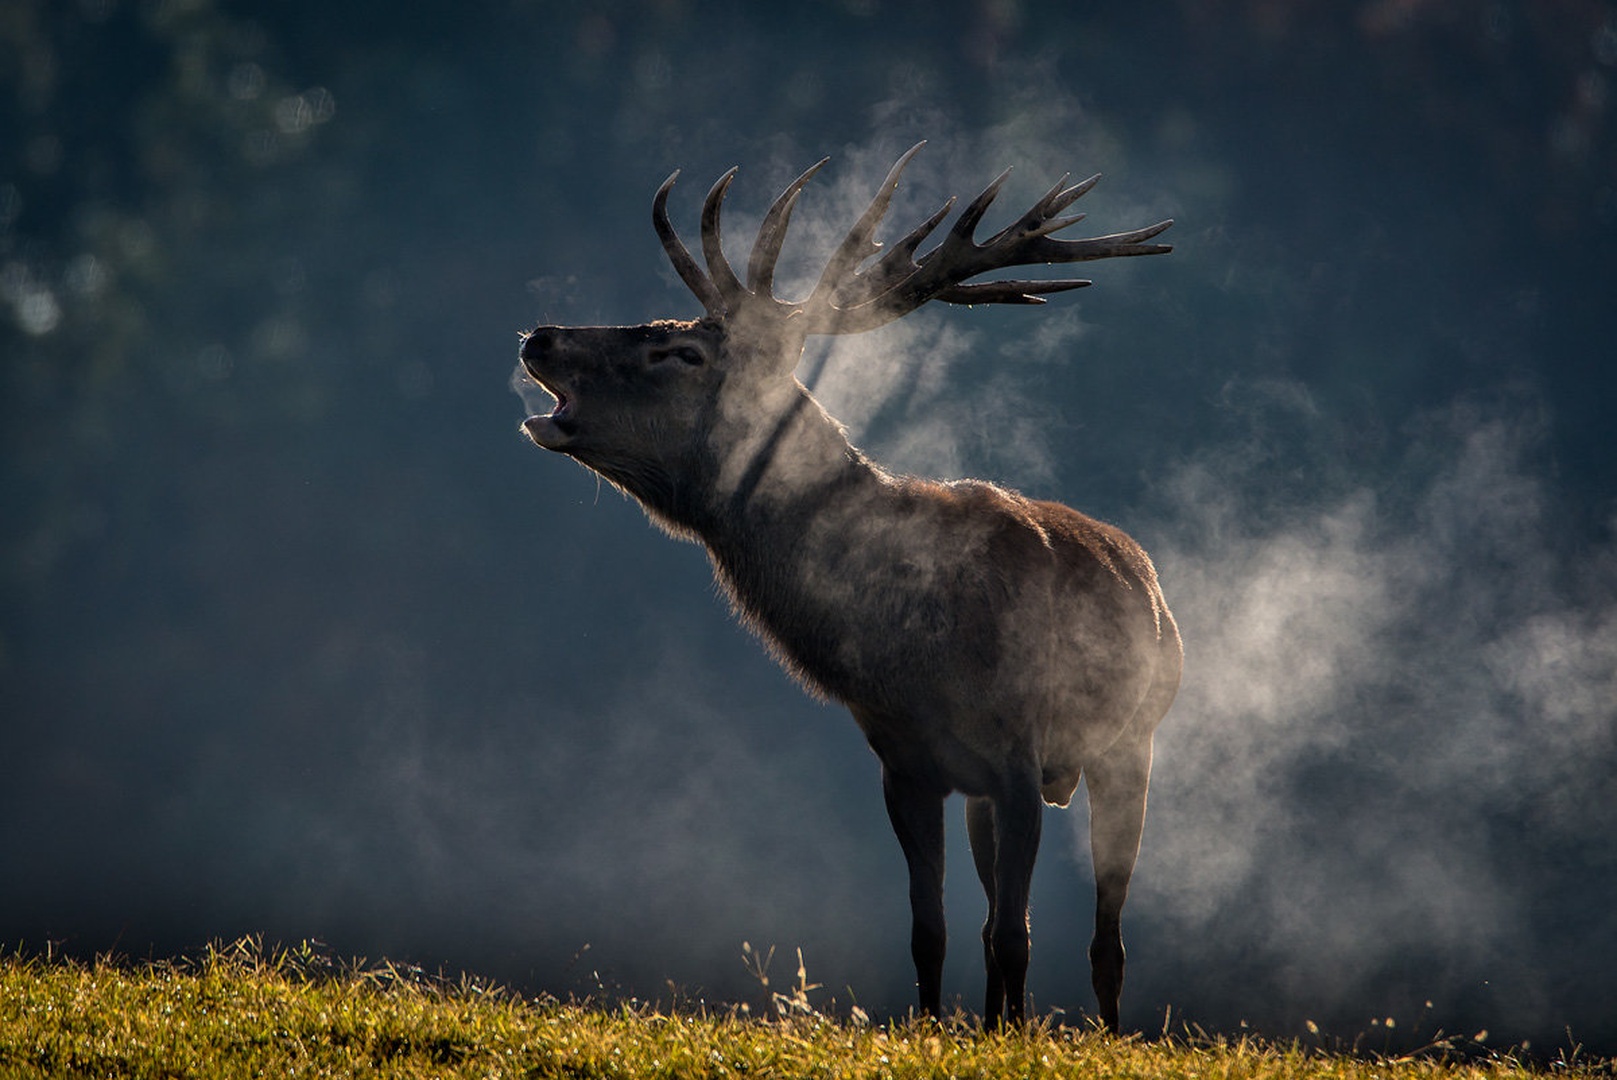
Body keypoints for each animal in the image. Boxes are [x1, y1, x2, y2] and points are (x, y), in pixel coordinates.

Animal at [517, 142, 1181, 1032]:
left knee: (1103, 938)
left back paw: (1101, 1033)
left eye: (680, 353)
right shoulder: (905, 763)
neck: (913, 646)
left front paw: (1008, 1041)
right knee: (991, 923)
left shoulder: (1017, 750)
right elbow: (933, 931)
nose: (541, 335)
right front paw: (939, 1033)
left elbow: (1016, 935)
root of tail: (1144, 570)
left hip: (1131, 741)